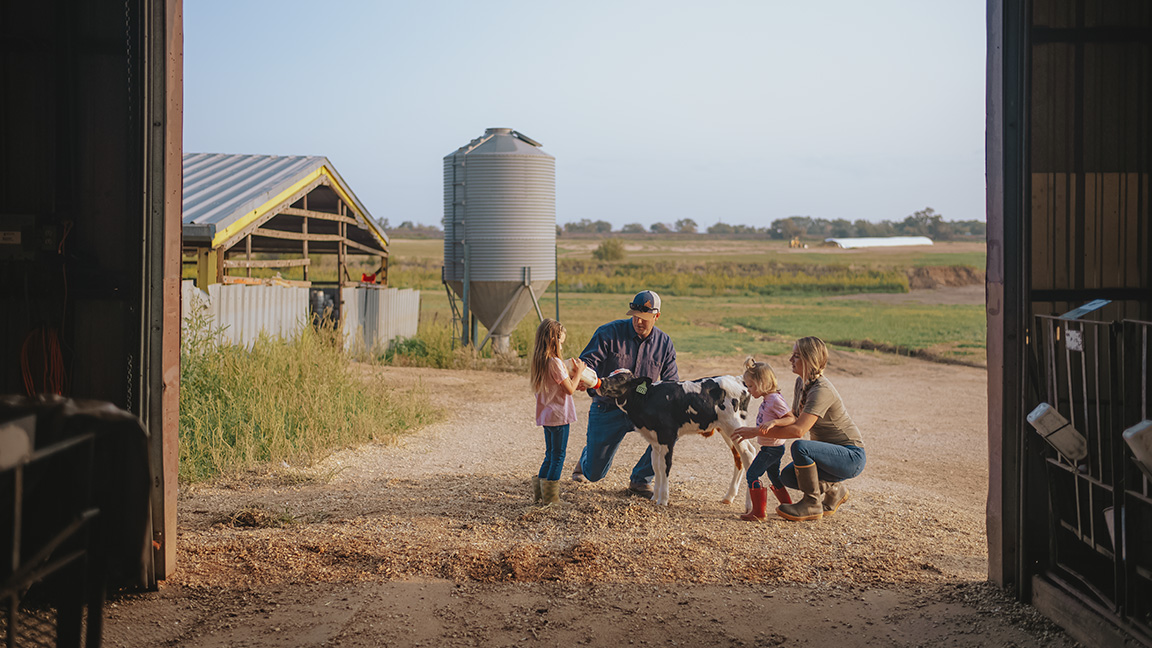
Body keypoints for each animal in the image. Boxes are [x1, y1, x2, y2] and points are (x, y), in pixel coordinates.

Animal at [594, 368, 755, 505]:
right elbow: (656, 465)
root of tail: (737, 379)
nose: (602, 381)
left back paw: (750, 505)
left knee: (748, 454)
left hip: (734, 424)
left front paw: (663, 500)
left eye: (621, 378)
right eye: (610, 373)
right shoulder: (654, 440)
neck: (648, 398)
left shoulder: (667, 436)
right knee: (739, 456)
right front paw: (655, 497)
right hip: (727, 430)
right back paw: (729, 497)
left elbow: (665, 465)